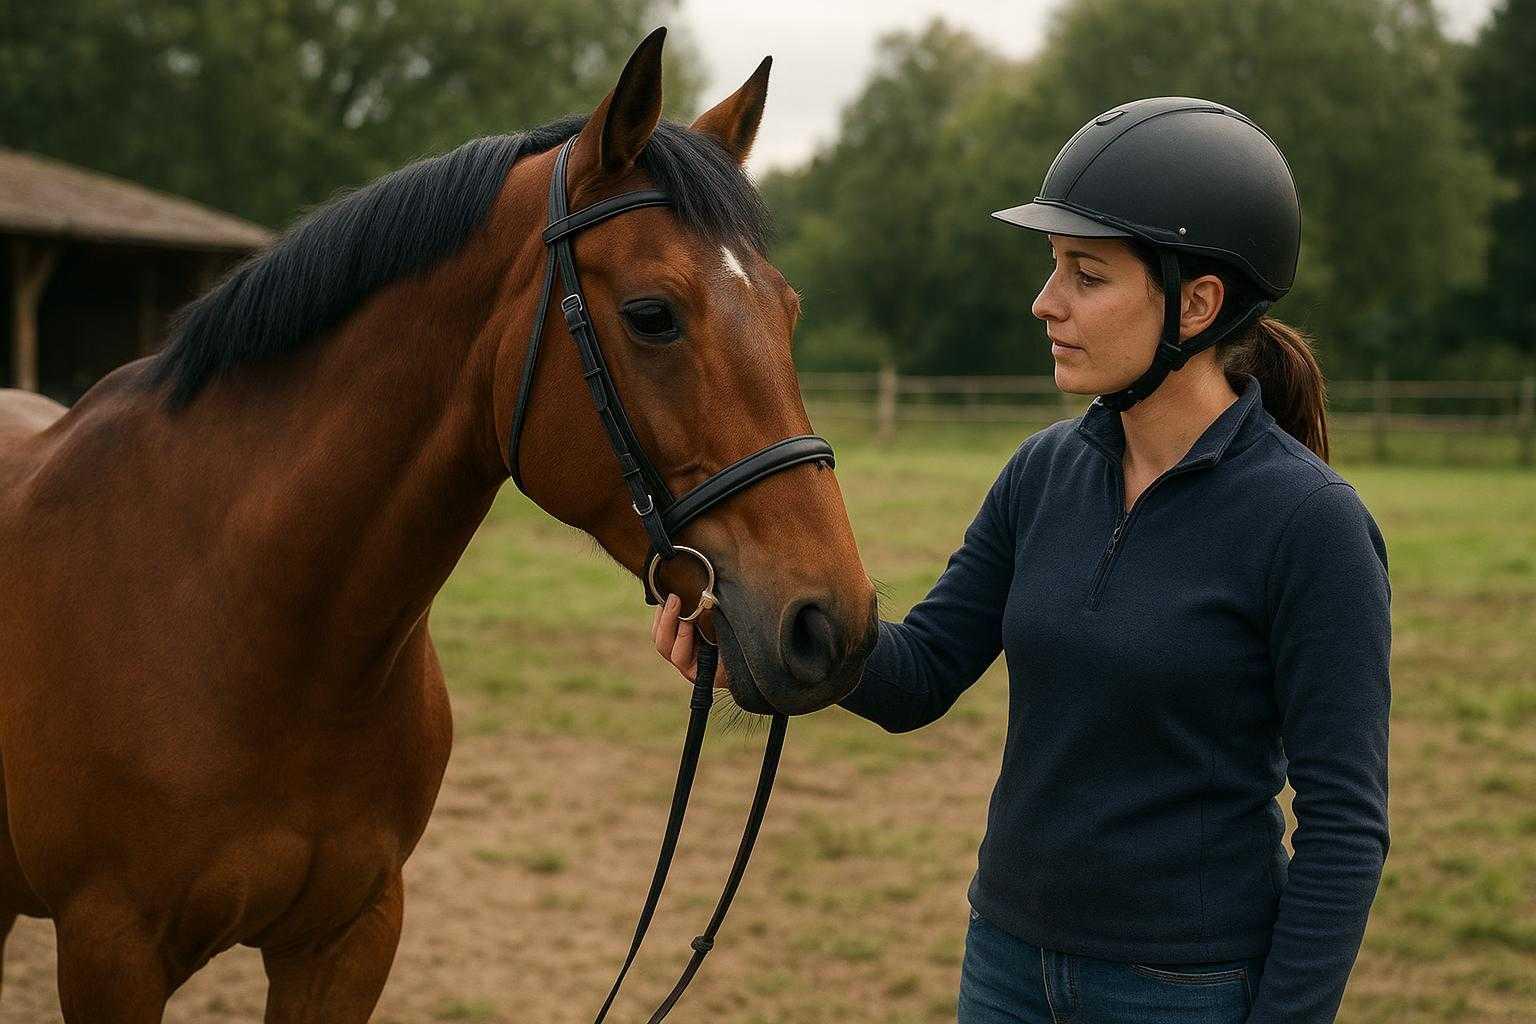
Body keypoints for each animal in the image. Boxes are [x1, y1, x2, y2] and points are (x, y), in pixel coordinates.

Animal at [0, 28, 877, 1022]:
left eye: (788, 310)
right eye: (652, 316)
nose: (831, 625)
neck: (230, 613)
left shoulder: (349, 938)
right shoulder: (110, 951)